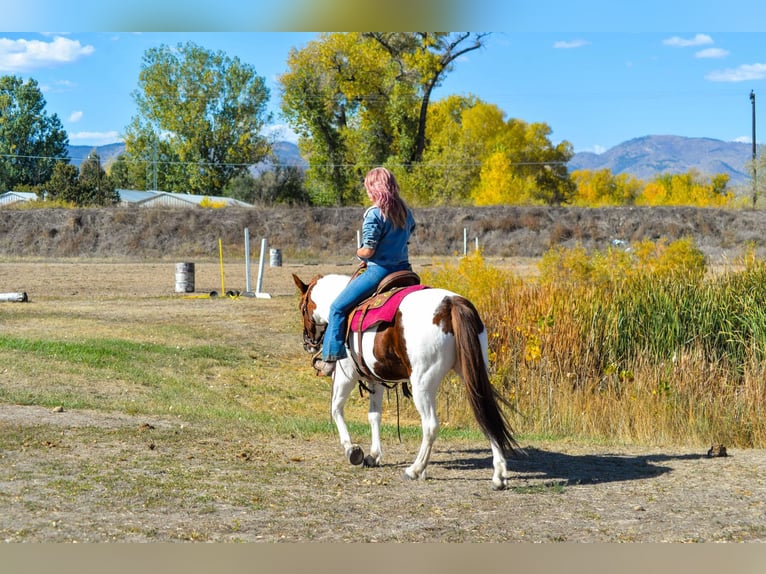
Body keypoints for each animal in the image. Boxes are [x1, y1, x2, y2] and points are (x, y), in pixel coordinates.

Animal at [294, 274, 520, 490]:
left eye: (302, 307)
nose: (307, 343)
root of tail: (450, 303)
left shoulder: (345, 375)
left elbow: (336, 409)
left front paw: (352, 449)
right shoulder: (375, 379)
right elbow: (374, 416)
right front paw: (374, 455)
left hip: (422, 384)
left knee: (430, 425)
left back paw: (415, 469)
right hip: (472, 376)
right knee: (487, 417)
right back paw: (499, 476)